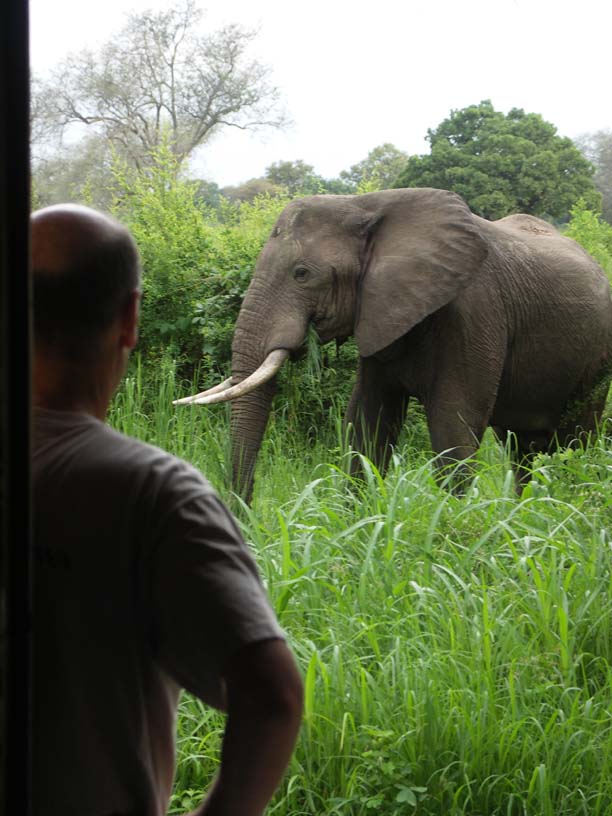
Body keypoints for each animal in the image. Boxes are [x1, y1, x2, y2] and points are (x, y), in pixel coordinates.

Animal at [175, 188, 612, 501]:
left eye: (302, 274)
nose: (245, 514)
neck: (365, 204)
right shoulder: (380, 312)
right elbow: (368, 422)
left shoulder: (473, 311)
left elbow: (453, 425)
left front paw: (454, 526)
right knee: (521, 448)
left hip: (597, 358)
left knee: (576, 439)